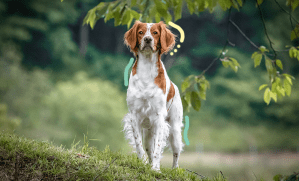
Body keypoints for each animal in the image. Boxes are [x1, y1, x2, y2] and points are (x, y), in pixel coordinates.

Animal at [122, 20, 184, 171]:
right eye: (141, 32)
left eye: (155, 32)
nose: (148, 39)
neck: (146, 70)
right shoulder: (134, 116)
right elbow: (139, 145)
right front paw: (143, 163)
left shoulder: (159, 118)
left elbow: (158, 148)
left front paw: (156, 169)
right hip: (149, 132)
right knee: (149, 148)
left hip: (174, 130)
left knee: (176, 153)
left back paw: (174, 169)